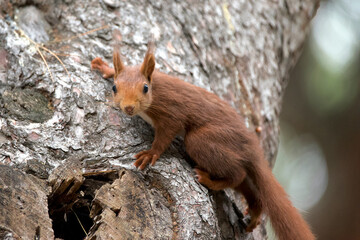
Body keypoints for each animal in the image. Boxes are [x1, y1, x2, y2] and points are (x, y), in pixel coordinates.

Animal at [90, 40, 316, 239]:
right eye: (115, 88)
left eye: (145, 88)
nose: (128, 108)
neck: (156, 89)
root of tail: (252, 148)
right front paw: (105, 67)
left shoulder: (172, 113)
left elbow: (164, 136)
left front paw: (150, 153)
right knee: (247, 184)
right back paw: (255, 212)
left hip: (203, 141)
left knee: (238, 174)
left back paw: (209, 180)